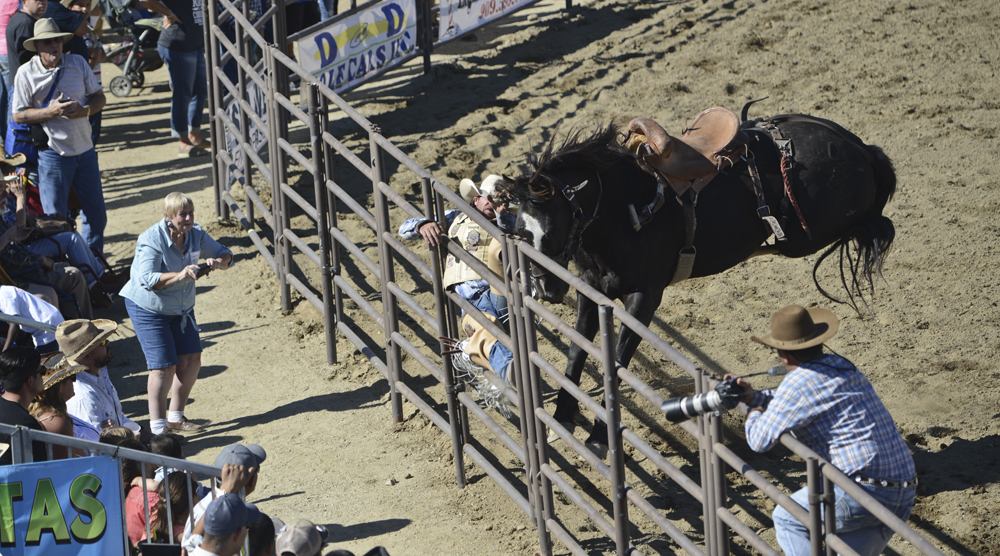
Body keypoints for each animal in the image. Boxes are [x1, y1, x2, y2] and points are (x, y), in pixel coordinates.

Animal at [504, 107, 896, 448]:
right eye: (521, 230)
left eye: (552, 230)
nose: (545, 287)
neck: (622, 207)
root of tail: (856, 146)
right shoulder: (590, 287)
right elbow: (576, 350)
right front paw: (562, 416)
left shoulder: (644, 298)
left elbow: (617, 361)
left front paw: (601, 435)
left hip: (813, 233)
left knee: (874, 223)